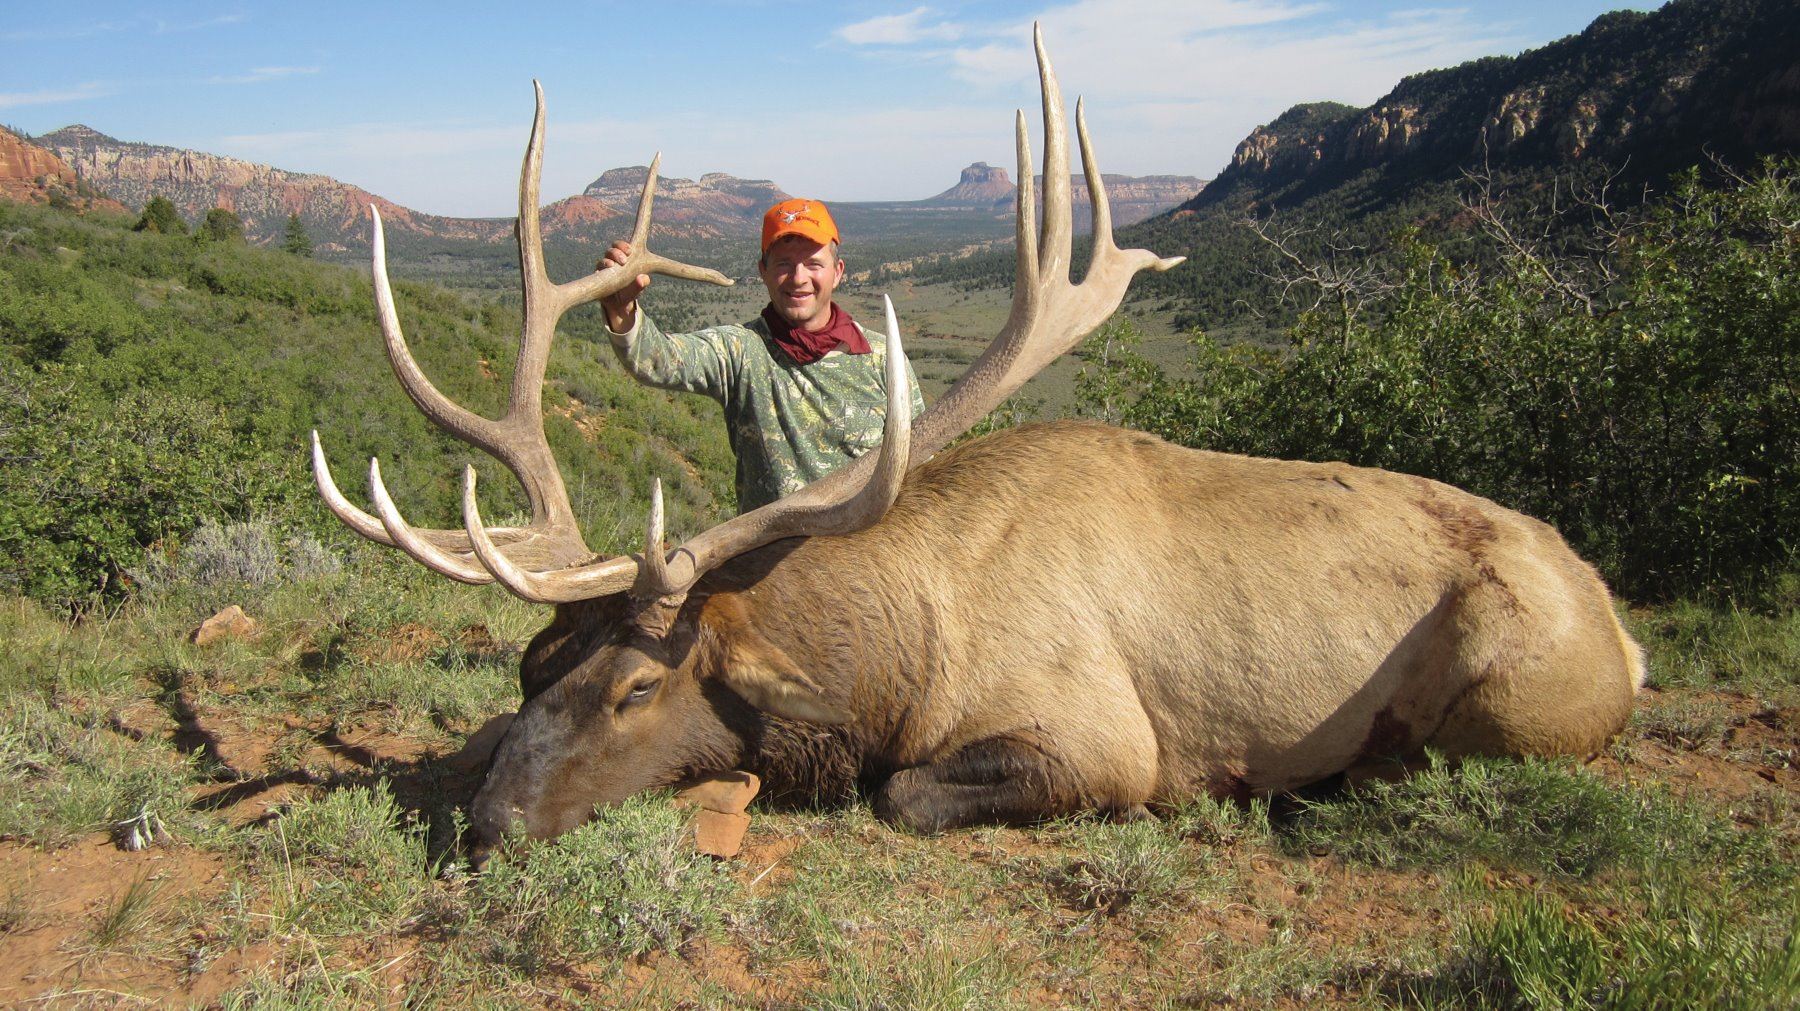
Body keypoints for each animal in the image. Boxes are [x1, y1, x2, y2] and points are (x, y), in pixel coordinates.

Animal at [311, 28, 1643, 856]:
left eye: (639, 686)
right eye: (531, 672)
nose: (485, 827)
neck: (898, 656)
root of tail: (1626, 635)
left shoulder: (1100, 737)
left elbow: (902, 794)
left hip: (1519, 688)